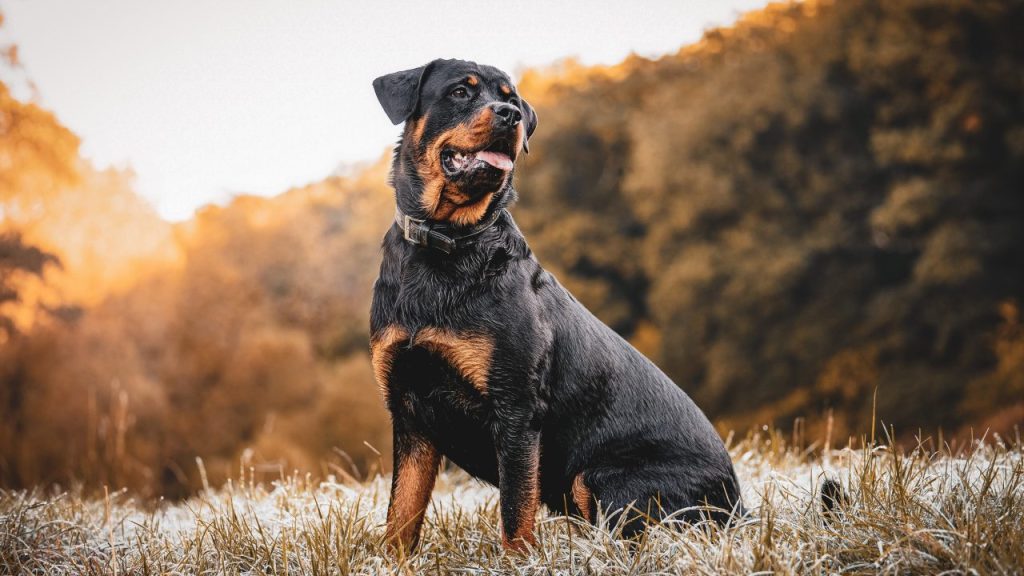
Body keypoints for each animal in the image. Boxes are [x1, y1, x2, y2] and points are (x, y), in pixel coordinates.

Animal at [372, 58, 741, 553]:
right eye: (460, 92)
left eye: (510, 98)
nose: (510, 114)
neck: (447, 243)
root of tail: (739, 506)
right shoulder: (410, 411)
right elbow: (401, 515)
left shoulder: (515, 410)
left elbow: (515, 515)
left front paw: (517, 561)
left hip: (602, 478)